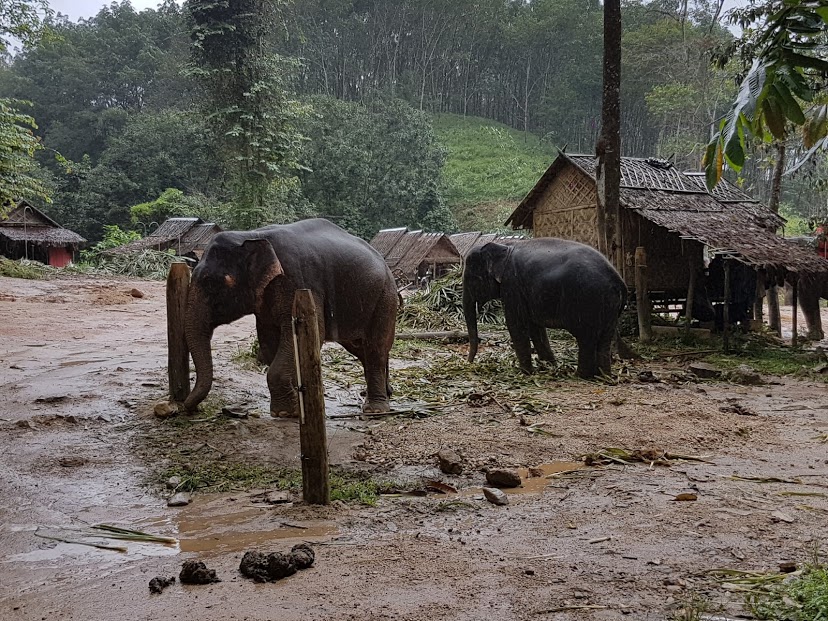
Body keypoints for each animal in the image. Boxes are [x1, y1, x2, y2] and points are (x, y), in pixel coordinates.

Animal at [182, 218, 398, 417]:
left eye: (211, 284)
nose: (189, 408)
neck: (251, 235)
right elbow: (269, 341)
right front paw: (294, 405)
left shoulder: (299, 282)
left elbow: (306, 332)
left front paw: (285, 413)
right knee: (360, 348)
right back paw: (384, 394)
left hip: (385, 297)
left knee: (375, 348)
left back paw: (375, 409)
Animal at [462, 239, 628, 378]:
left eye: (472, 278)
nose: (468, 363)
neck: (505, 246)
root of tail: (619, 280)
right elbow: (535, 327)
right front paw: (550, 367)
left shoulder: (512, 285)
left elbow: (516, 324)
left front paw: (525, 373)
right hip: (609, 305)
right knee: (605, 339)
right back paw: (604, 376)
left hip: (588, 300)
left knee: (586, 338)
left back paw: (581, 376)